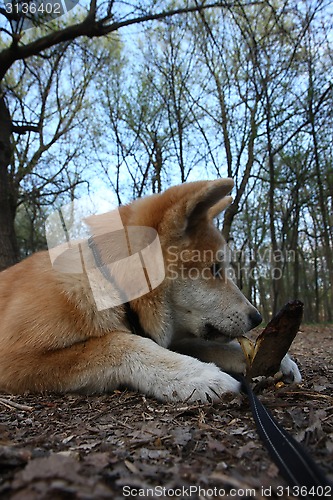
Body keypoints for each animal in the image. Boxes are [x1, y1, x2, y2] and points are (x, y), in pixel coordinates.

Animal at [0, 180, 300, 402]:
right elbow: (119, 342)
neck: (109, 284)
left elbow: (208, 346)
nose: (257, 318)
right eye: (215, 268)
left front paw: (278, 361)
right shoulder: (14, 359)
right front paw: (198, 376)